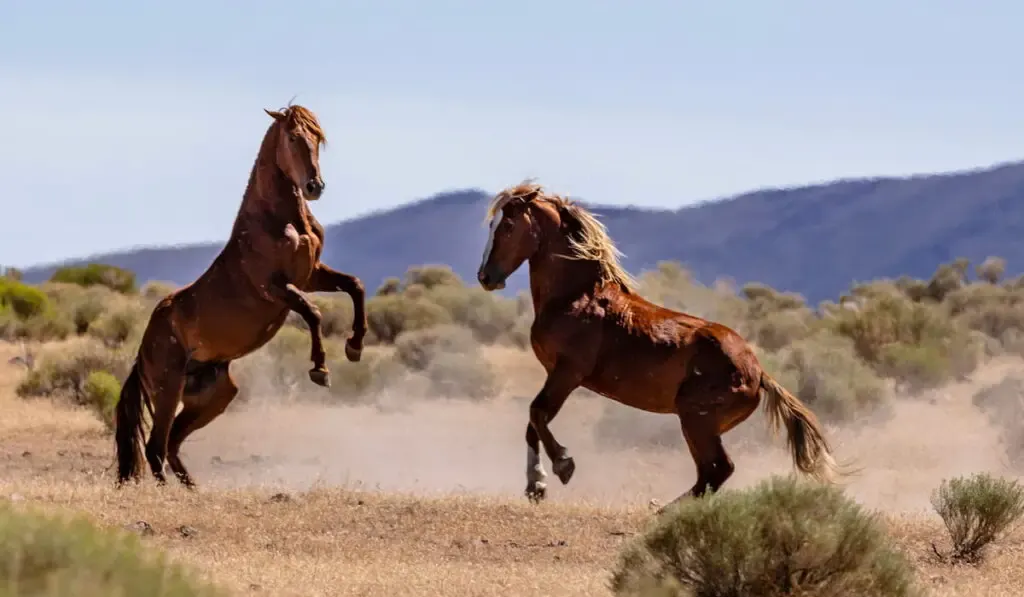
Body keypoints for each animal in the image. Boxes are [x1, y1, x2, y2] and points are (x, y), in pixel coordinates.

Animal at [115, 103, 368, 491]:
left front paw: (354, 347)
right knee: (156, 446)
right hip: (168, 388)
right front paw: (320, 370)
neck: (278, 219)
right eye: (292, 136)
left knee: (171, 444)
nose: (314, 187)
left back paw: (195, 490)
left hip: (214, 395)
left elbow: (355, 285)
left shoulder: (311, 275)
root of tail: (142, 353)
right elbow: (312, 312)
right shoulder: (275, 288)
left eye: (318, 138)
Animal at [475, 181, 843, 509]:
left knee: (717, 470)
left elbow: (536, 414)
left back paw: (664, 511)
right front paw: (536, 486)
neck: (575, 296)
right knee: (710, 474)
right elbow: (532, 424)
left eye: (508, 225)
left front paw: (563, 466)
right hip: (701, 425)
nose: (486, 277)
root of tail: (758, 373)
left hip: (696, 420)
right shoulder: (556, 374)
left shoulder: (568, 373)